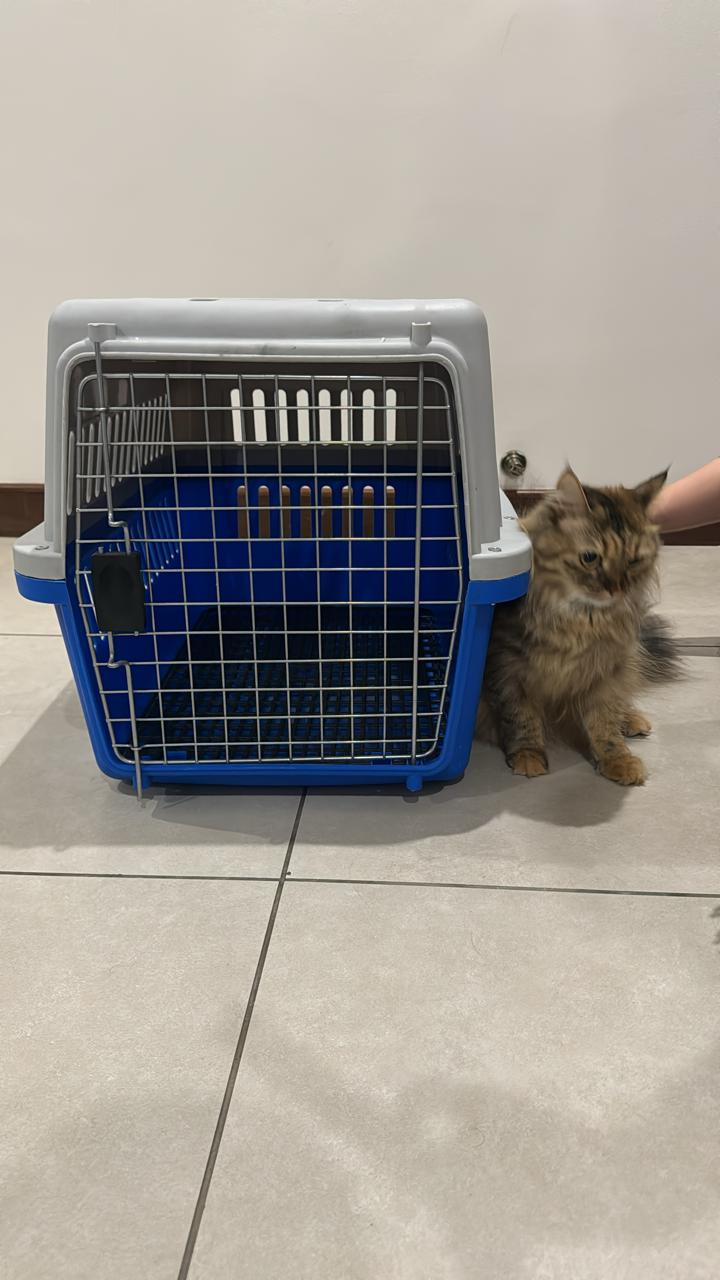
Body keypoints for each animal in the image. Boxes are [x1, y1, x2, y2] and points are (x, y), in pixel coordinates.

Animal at [478, 467, 681, 785]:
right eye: (590, 558)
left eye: (633, 561)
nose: (616, 589)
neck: (581, 621)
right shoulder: (506, 668)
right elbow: (521, 719)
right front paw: (528, 755)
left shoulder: (606, 670)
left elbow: (604, 723)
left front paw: (617, 760)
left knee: (623, 702)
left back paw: (631, 719)